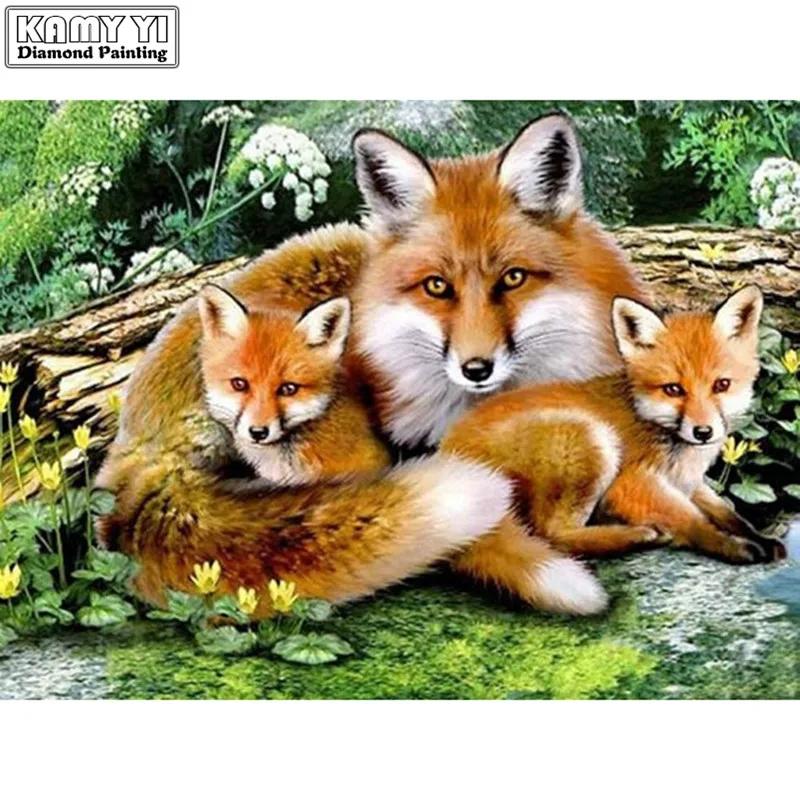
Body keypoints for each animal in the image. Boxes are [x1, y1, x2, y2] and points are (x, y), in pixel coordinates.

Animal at [442, 286, 786, 570]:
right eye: (673, 389)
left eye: (721, 385)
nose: (703, 432)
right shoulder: (630, 484)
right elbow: (693, 520)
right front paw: (730, 545)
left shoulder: (688, 483)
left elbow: (726, 511)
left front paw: (759, 537)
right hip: (591, 440)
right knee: (553, 536)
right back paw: (637, 535)